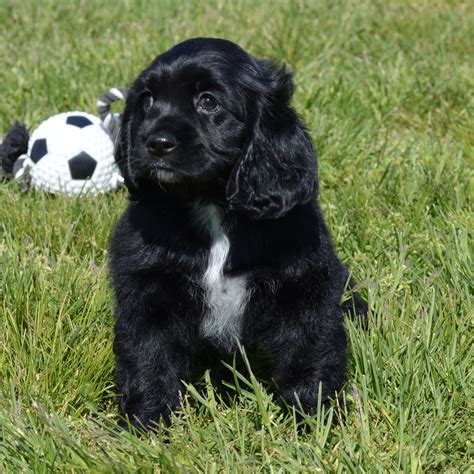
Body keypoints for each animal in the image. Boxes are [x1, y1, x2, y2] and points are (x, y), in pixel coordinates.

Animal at [110, 38, 366, 430]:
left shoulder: (304, 285)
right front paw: (144, 423)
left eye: (208, 101)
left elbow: (310, 348)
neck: (210, 204)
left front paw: (315, 421)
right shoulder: (146, 288)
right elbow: (148, 354)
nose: (156, 143)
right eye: (147, 100)